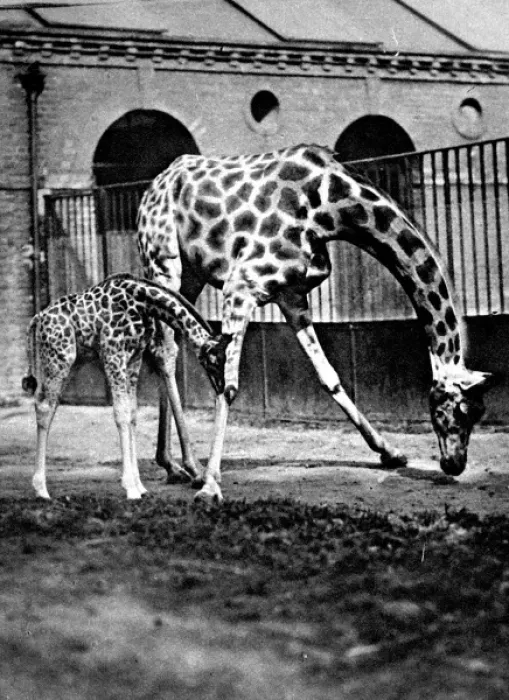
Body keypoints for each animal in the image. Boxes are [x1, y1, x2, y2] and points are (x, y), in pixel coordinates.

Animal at [22, 273, 231, 500]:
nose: (223, 388)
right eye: (213, 361)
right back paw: (41, 490)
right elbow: (121, 414)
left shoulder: (134, 357)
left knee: (47, 405)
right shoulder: (113, 355)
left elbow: (131, 414)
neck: (141, 301)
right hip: (59, 357)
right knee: (44, 406)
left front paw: (139, 486)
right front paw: (130, 487)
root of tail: (37, 318)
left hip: (73, 360)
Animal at [137, 143, 493, 505]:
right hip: (164, 263)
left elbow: (329, 377)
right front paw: (211, 485)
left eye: (480, 412)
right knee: (164, 350)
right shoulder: (241, 285)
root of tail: (153, 187)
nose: (454, 464)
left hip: (192, 276)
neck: (331, 208)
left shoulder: (292, 296)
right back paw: (189, 468)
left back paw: (173, 465)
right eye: (458, 410)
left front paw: (391, 453)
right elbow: (230, 384)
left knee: (171, 342)